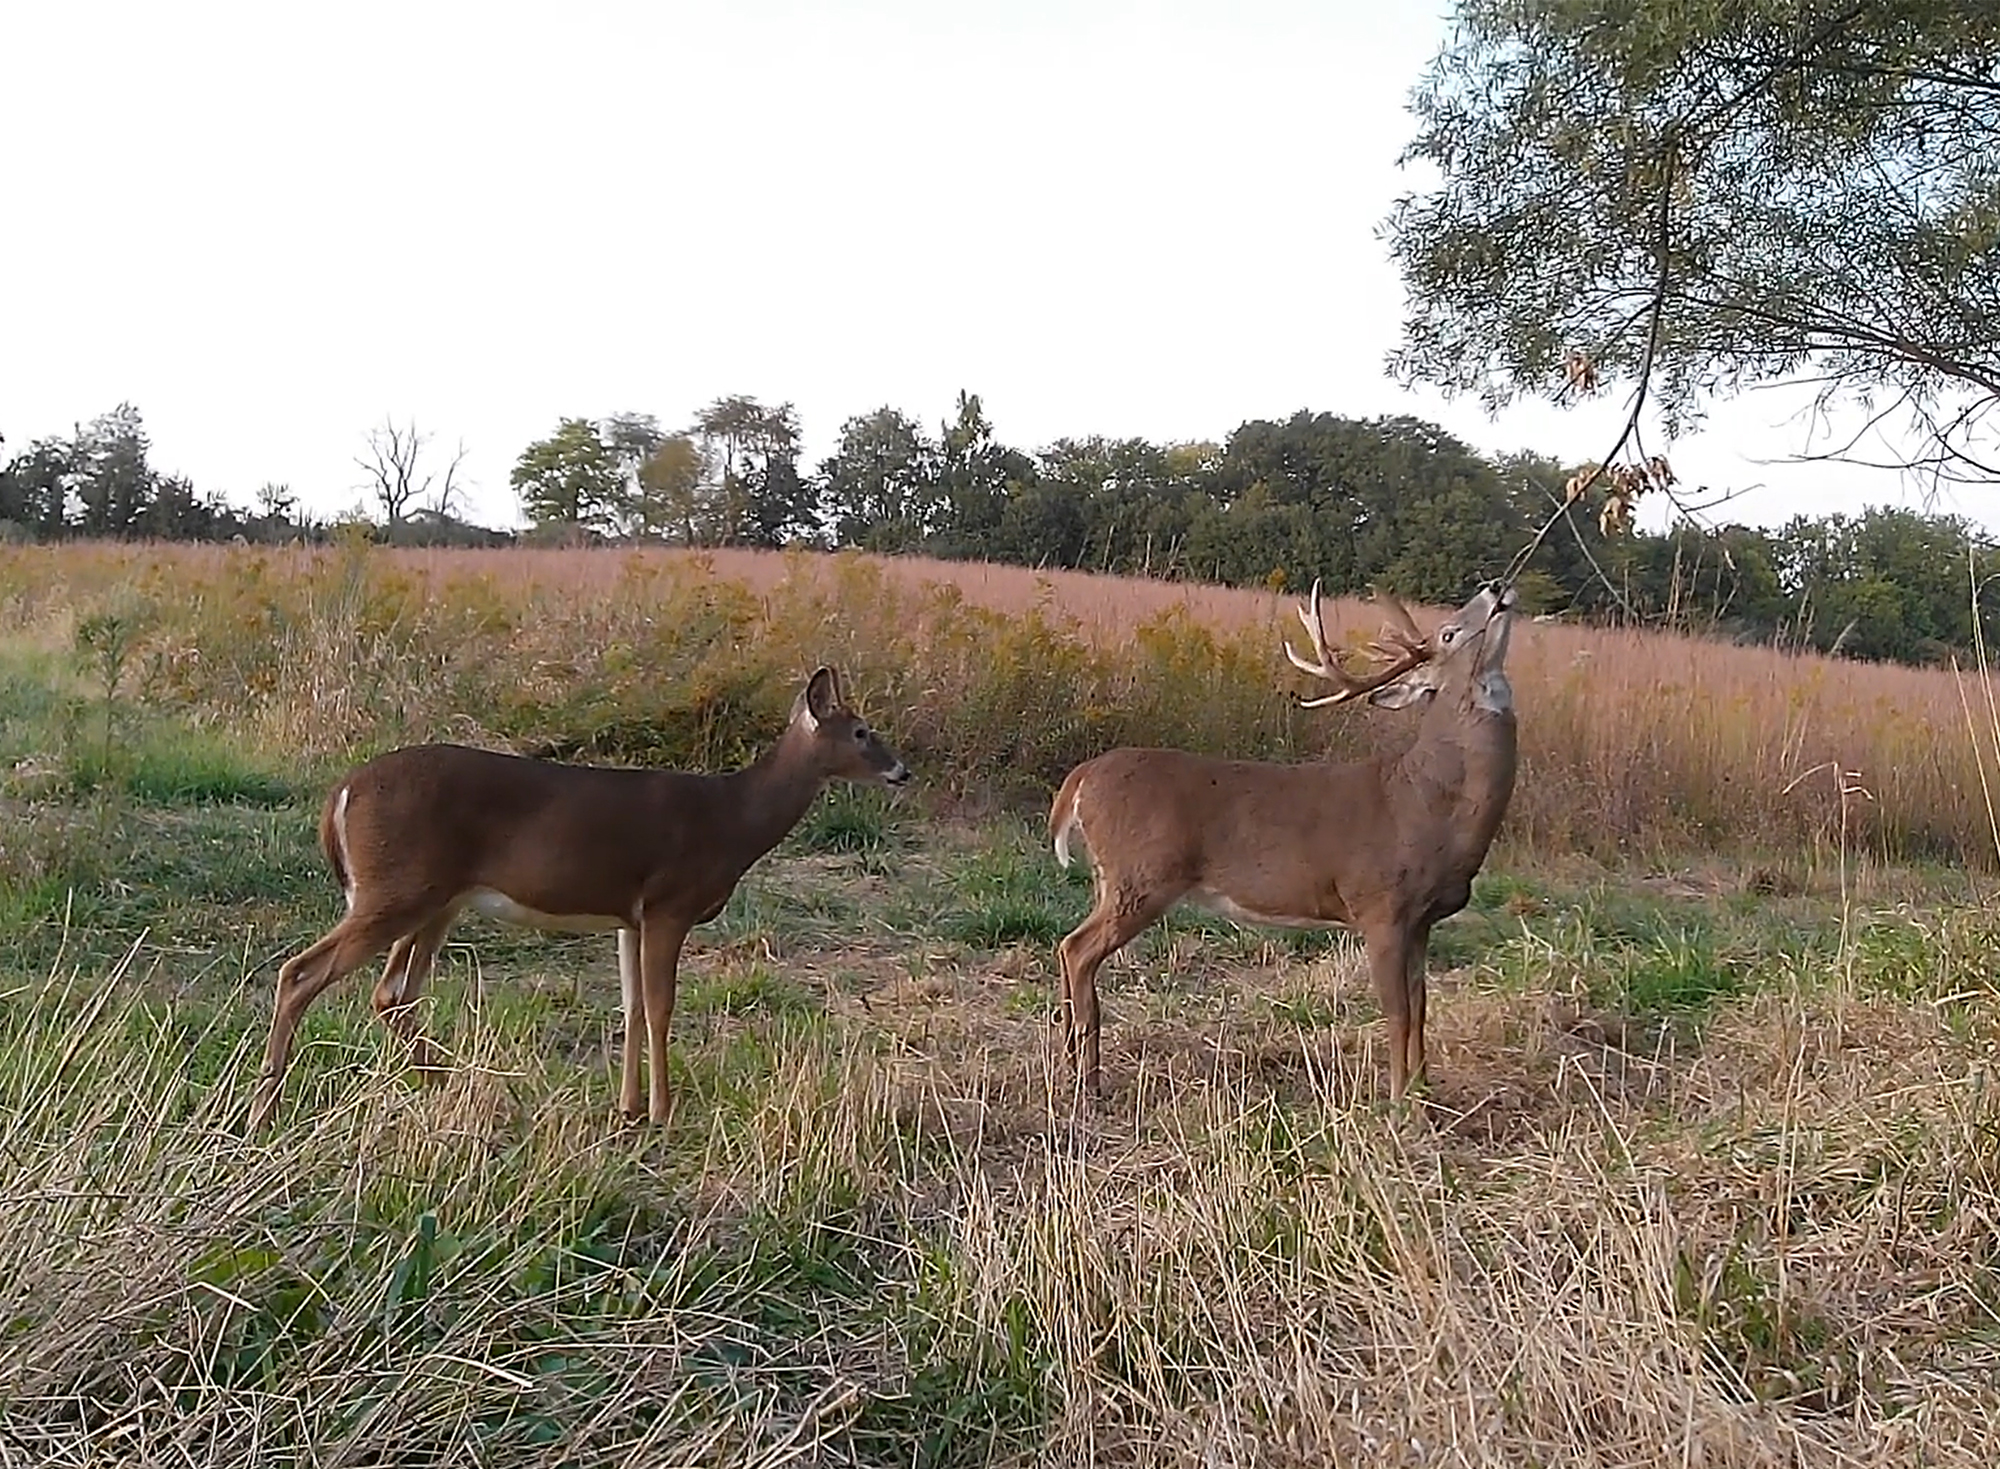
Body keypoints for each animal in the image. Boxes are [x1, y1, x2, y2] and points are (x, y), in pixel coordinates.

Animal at [246, 668, 912, 1136]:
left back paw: (470, 1090)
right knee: (301, 973)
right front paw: (663, 1112)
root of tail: (340, 794)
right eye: (861, 731)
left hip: (435, 899)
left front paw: (630, 1108)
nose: (902, 771)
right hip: (397, 889)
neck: (734, 821)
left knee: (391, 993)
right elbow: (661, 1007)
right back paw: (263, 1111)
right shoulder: (671, 901)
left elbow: (632, 1006)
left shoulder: (630, 916)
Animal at [1048, 580, 1512, 1112]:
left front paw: (1424, 1094)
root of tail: (1081, 777)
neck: (1428, 804)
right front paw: (1397, 1105)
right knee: (1078, 949)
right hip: (1141, 876)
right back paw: (1088, 1083)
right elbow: (1396, 1013)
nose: (1496, 586)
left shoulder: (1423, 920)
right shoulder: (1380, 905)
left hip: (1111, 878)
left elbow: (1420, 1008)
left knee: (1067, 946)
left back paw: (1069, 1065)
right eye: (1450, 632)